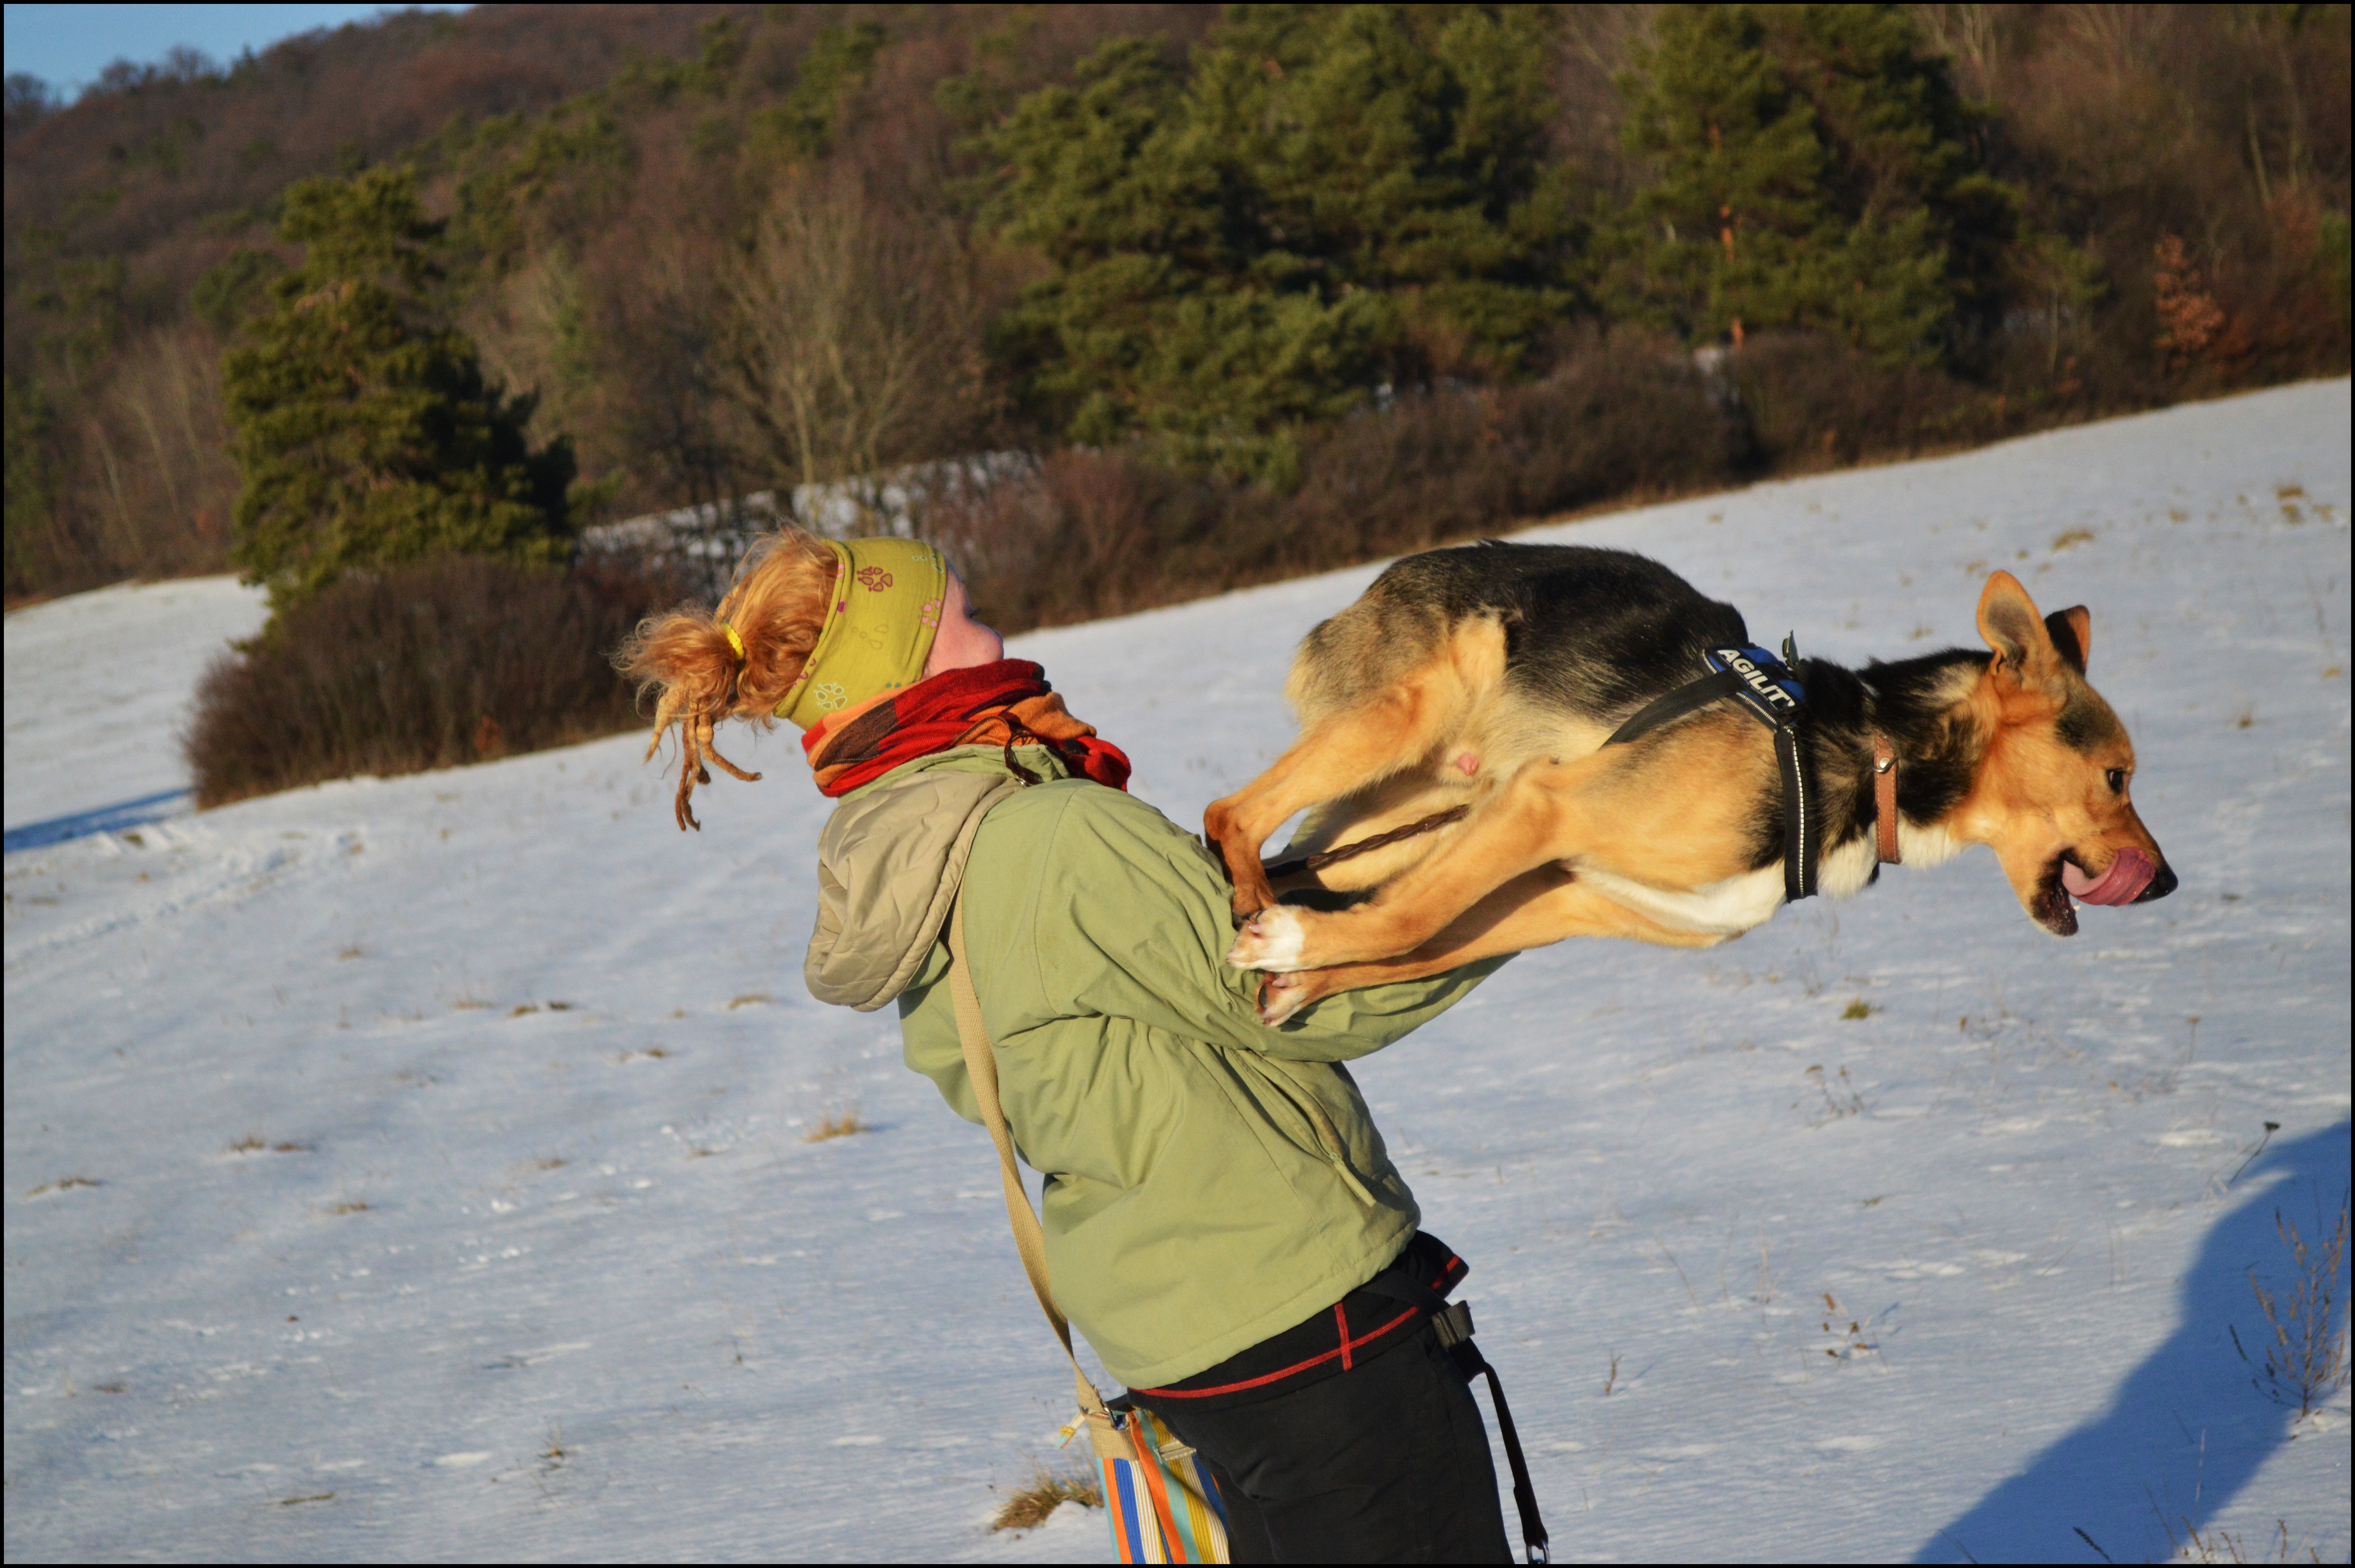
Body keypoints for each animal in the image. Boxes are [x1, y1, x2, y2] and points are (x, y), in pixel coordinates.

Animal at [1206, 541, 2176, 1026]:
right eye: (2118, 777)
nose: (2167, 882)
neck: (1873, 757)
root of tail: (1381, 580)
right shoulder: (1544, 807)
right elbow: (1411, 924)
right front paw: (1286, 944)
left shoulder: (1559, 897)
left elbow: (1412, 947)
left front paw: (1299, 978)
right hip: (1411, 717)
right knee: (1231, 811)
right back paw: (1252, 893)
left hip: (1412, 824)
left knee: (1301, 853)